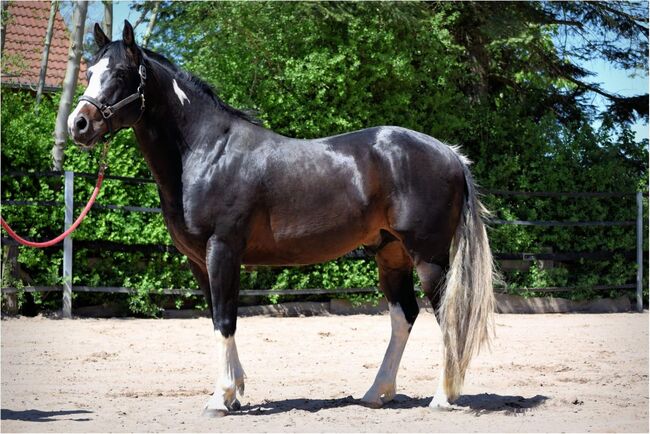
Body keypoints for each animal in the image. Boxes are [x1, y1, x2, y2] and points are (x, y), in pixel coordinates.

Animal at [68, 21, 494, 418]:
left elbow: (226, 319)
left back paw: (443, 398)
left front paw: (221, 398)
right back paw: (377, 393)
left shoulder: (222, 250)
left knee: (446, 315)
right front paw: (234, 392)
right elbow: (216, 318)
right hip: (391, 255)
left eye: (120, 73)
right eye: (89, 73)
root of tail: (451, 154)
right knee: (403, 315)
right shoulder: (198, 261)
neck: (206, 152)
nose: (79, 124)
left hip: (428, 258)